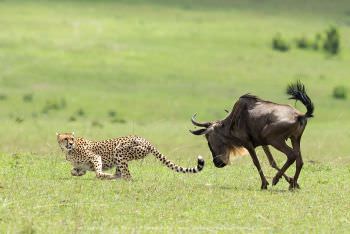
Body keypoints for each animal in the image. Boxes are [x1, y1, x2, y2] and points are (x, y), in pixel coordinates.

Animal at [56, 133, 205, 180]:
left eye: (72, 138)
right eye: (65, 138)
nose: (70, 143)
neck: (69, 151)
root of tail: (145, 139)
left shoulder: (95, 157)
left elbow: (98, 171)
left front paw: (103, 175)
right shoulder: (80, 165)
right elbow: (74, 170)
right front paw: (78, 173)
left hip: (120, 150)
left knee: (127, 176)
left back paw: (114, 178)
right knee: (121, 174)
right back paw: (114, 178)